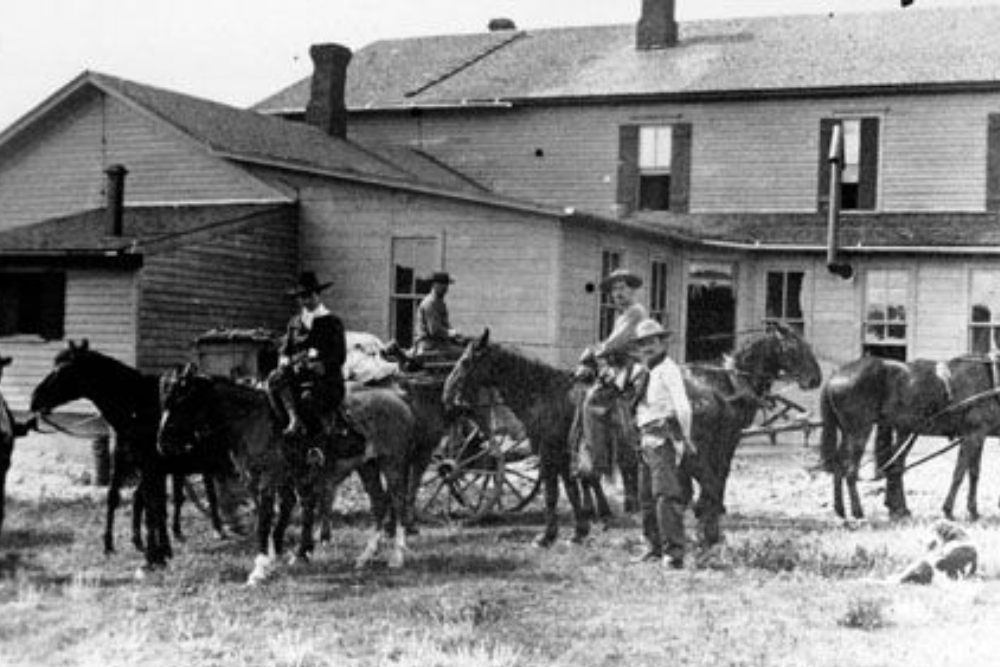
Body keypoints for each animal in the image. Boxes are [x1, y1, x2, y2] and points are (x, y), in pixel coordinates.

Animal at [27, 342, 232, 572]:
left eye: (63, 370)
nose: (34, 399)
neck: (136, 409)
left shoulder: (152, 467)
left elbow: (154, 507)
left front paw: (154, 556)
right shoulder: (129, 463)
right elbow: (123, 499)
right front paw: (115, 546)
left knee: (209, 492)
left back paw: (217, 529)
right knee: (168, 496)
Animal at [446, 326, 820, 552]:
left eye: (465, 362)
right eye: (795, 347)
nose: (448, 396)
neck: (545, 394)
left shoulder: (551, 454)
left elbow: (555, 494)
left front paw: (548, 535)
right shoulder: (562, 455)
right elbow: (571, 490)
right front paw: (578, 530)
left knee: (710, 484)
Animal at [816, 354, 1000, 520]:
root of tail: (836, 375)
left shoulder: (978, 436)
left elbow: (974, 474)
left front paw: (973, 511)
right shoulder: (973, 434)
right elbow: (959, 474)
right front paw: (949, 510)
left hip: (848, 433)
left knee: (839, 465)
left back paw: (840, 508)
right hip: (859, 431)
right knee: (851, 470)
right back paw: (857, 511)